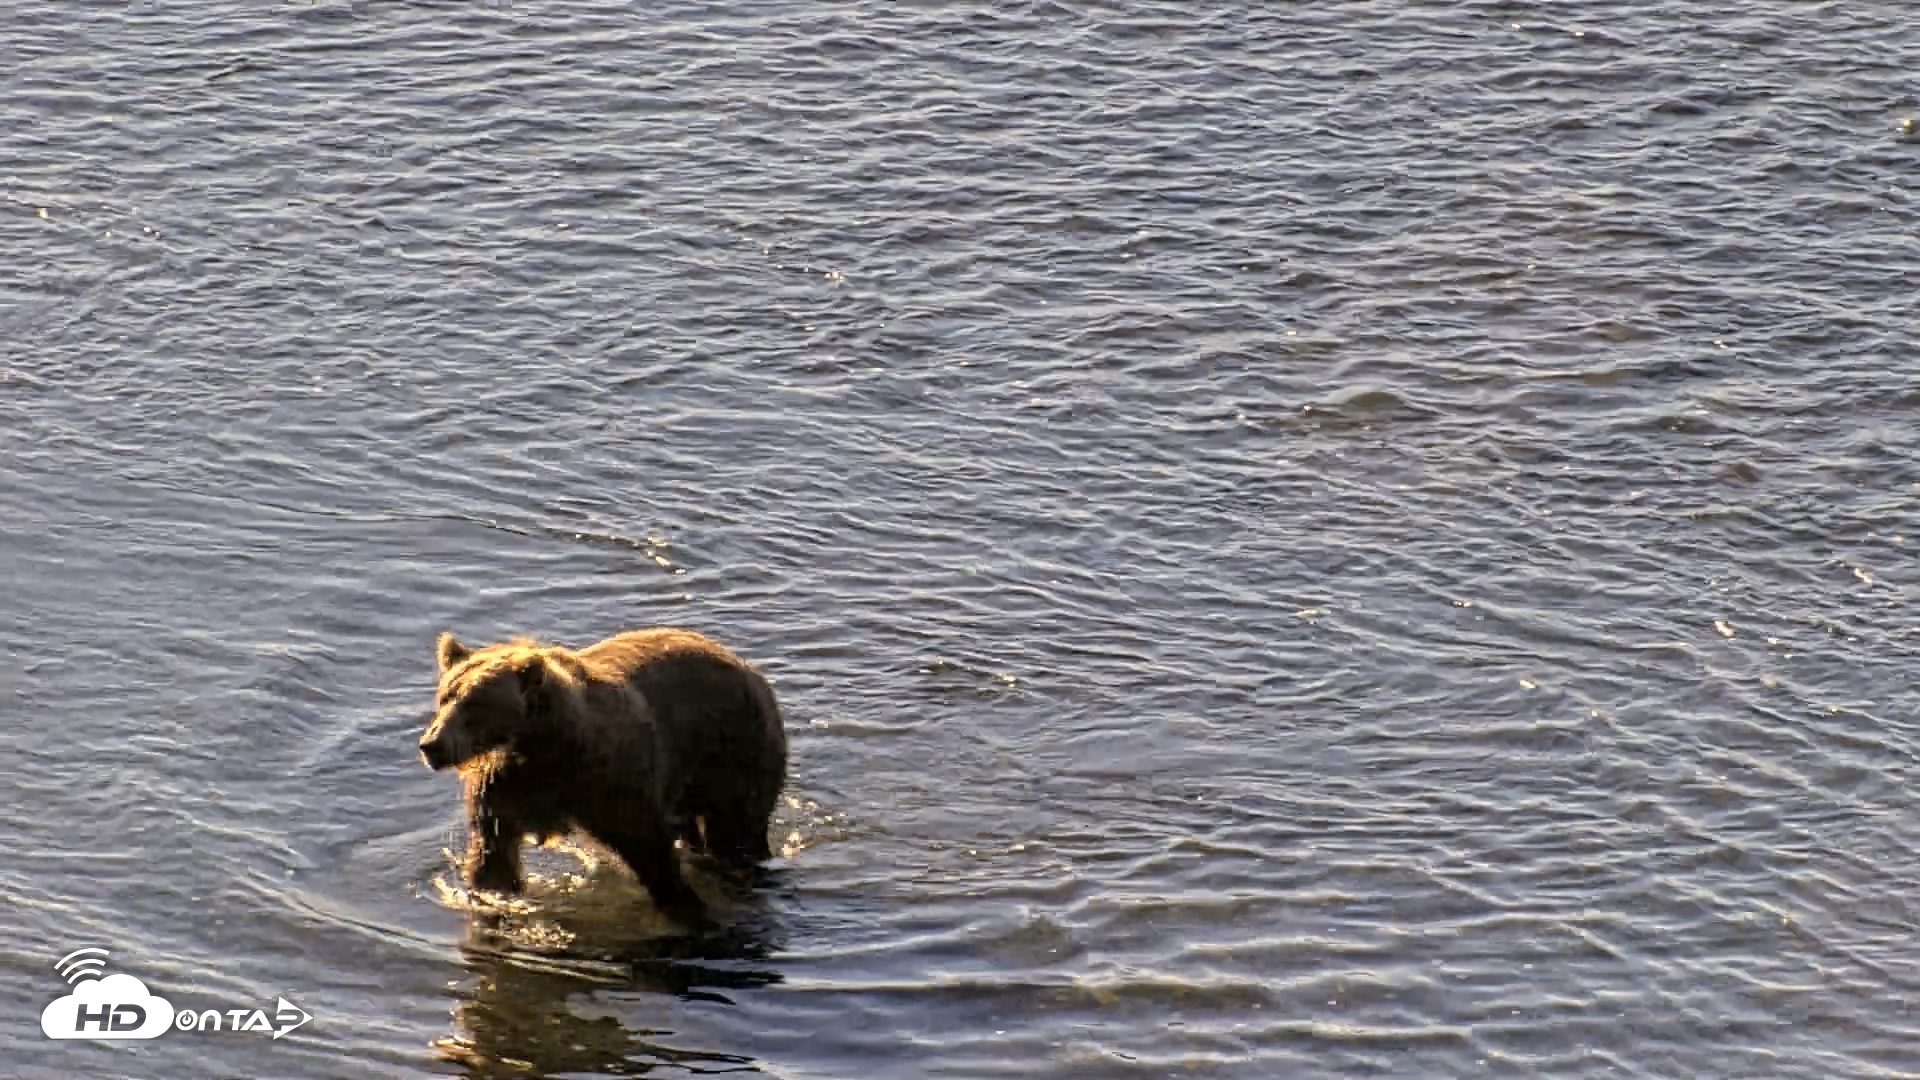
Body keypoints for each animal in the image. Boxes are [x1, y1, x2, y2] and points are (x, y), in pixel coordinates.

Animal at [417, 627, 789, 924]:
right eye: (445, 696)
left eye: (475, 704)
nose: (431, 745)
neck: (542, 747)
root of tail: (747, 668)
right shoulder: (507, 787)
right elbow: (493, 853)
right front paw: (493, 892)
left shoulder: (606, 782)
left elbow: (646, 843)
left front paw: (684, 904)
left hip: (734, 752)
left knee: (735, 829)